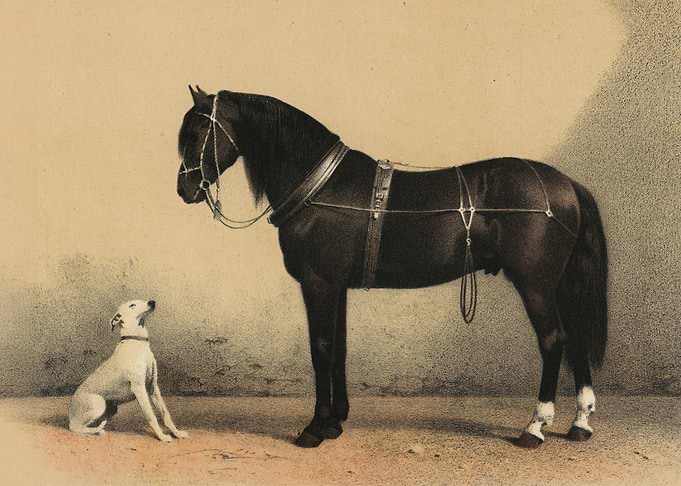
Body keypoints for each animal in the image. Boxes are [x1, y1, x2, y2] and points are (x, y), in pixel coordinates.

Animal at [176, 86, 608, 449]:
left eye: (198, 133)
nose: (185, 190)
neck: (321, 187)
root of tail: (565, 184)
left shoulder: (318, 283)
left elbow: (322, 348)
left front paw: (315, 428)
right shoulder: (337, 287)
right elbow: (339, 348)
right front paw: (335, 422)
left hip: (535, 285)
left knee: (553, 341)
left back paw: (535, 427)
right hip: (560, 285)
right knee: (577, 337)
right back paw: (580, 423)